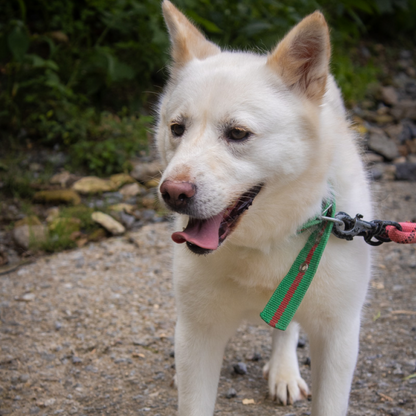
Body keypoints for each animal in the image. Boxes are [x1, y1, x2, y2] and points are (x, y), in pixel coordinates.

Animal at [154, 1, 372, 414]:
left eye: (238, 133)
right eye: (177, 129)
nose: (172, 192)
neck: (264, 240)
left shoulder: (338, 339)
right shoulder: (198, 335)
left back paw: (284, 370)